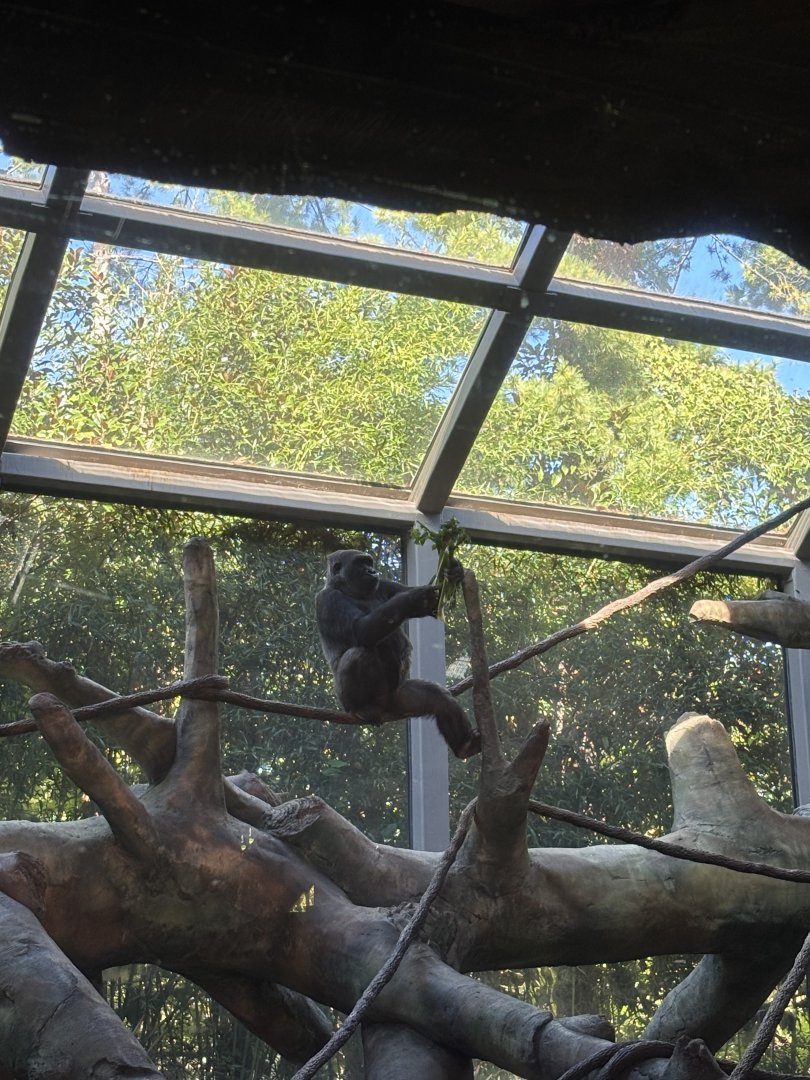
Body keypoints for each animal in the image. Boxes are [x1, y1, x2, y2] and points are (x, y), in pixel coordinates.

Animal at [316, 549, 481, 759]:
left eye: (368, 562)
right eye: (360, 564)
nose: (372, 571)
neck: (348, 589)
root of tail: (384, 708)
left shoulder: (384, 585)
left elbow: (432, 606)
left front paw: (453, 572)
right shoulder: (328, 598)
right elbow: (360, 631)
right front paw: (413, 597)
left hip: (397, 697)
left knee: (439, 699)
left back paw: (465, 746)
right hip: (347, 700)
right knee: (359, 653)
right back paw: (362, 708)